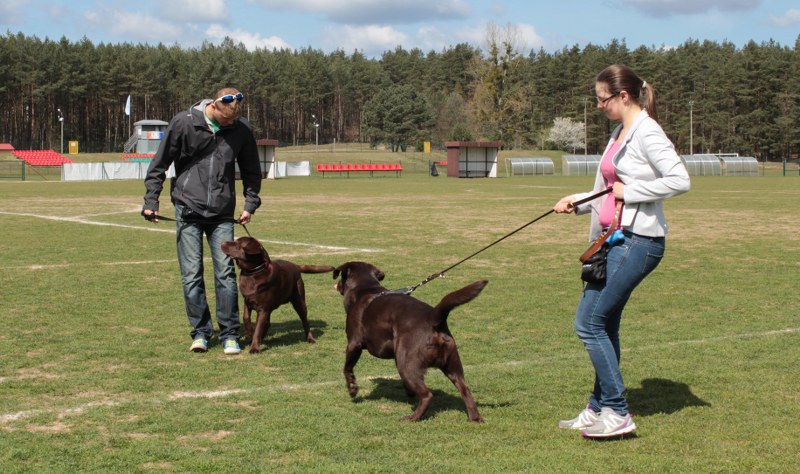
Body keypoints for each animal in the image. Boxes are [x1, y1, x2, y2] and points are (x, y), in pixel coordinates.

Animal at [333, 261, 487, 422]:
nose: (337, 284)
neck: (366, 289)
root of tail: (432, 317)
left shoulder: (354, 344)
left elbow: (347, 368)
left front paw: (352, 389)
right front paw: (409, 392)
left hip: (407, 365)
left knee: (427, 395)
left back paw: (413, 417)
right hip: (452, 366)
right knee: (465, 390)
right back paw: (475, 418)